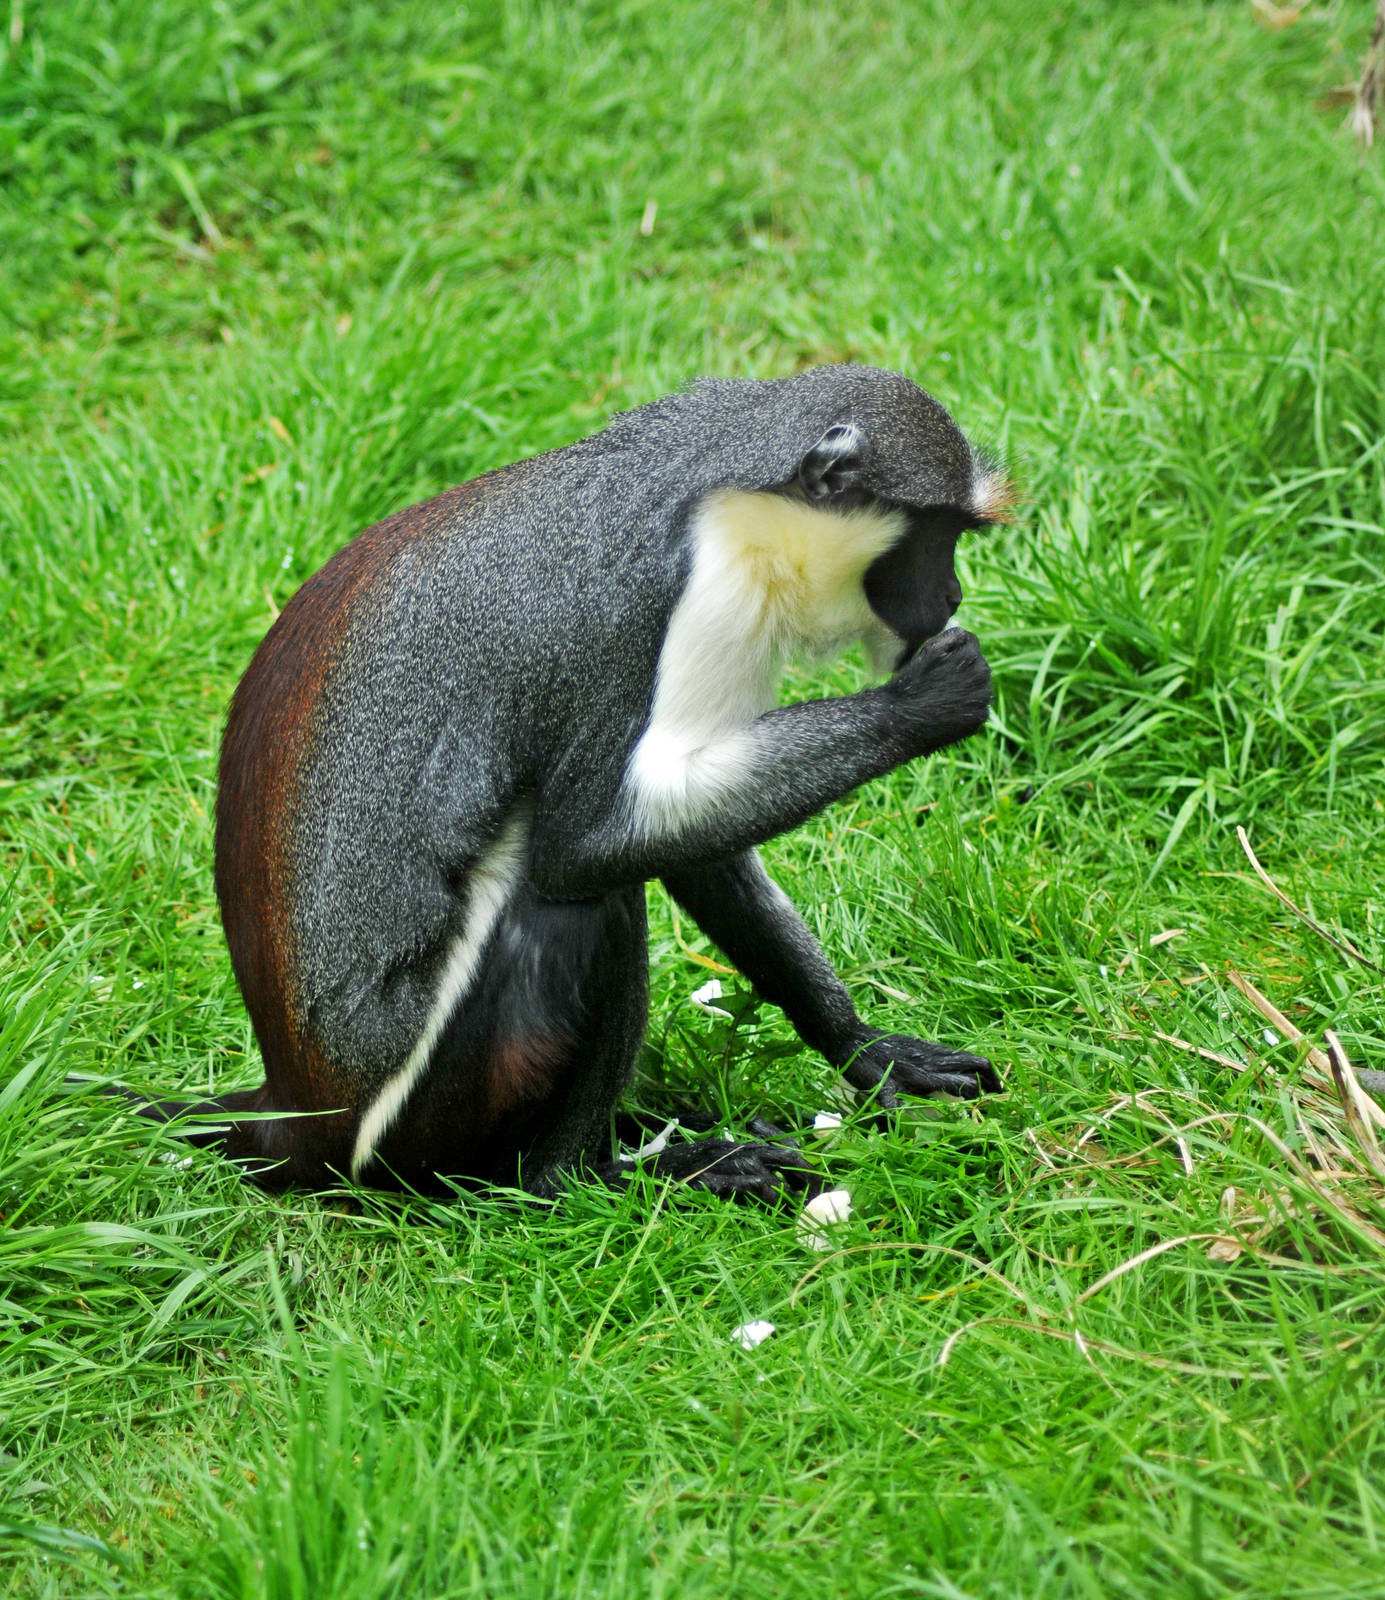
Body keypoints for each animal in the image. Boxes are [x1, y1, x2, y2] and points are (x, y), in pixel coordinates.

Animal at [126, 364, 1007, 1202]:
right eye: (933, 537)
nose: (952, 594)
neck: (719, 481)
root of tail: (297, 1113)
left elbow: (700, 859)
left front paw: (865, 1049)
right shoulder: (663, 611)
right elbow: (584, 846)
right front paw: (920, 706)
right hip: (433, 1094)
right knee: (570, 905)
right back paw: (580, 1176)